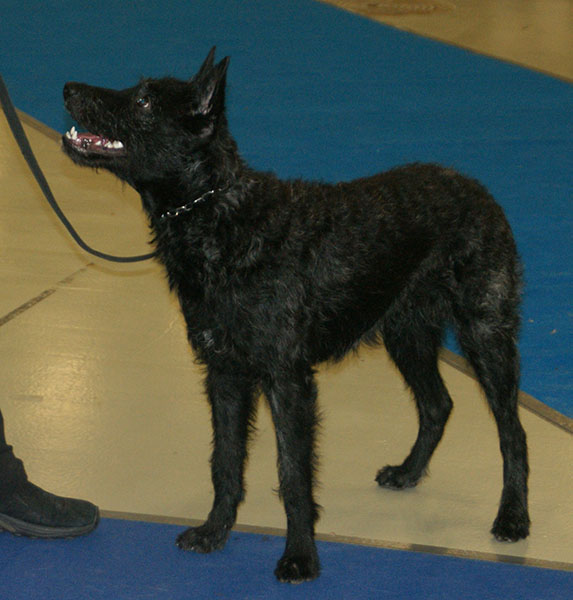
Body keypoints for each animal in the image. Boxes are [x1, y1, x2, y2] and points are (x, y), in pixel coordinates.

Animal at [61, 49, 528, 584]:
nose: (68, 89)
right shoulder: (225, 374)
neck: (220, 218)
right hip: (405, 333)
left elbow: (292, 474)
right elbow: (225, 461)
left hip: (486, 335)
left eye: (143, 101)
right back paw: (409, 472)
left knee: (511, 431)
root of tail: (477, 191)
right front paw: (215, 530)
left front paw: (300, 556)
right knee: (437, 404)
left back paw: (513, 516)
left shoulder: (287, 382)